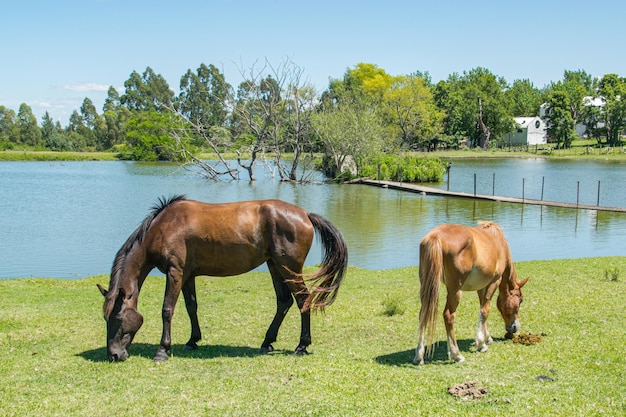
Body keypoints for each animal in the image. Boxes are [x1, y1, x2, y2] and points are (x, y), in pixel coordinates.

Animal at [96, 195, 346, 360]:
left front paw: (162, 350)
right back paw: (267, 342)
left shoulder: (175, 272)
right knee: (284, 302)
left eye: (117, 318)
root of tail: (305, 214)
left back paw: (301, 346)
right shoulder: (187, 275)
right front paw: (192, 341)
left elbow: (167, 310)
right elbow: (191, 306)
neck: (164, 227)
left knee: (303, 299)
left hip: (288, 268)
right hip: (275, 265)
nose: (113, 355)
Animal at [412, 221, 528, 364]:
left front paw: (487, 338)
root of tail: (436, 236)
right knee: (448, 316)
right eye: (520, 300)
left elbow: (482, 307)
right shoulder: (493, 282)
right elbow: (485, 310)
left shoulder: (481, 287)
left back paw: (419, 356)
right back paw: (457, 354)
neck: (498, 242)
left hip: (426, 286)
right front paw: (481, 344)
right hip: (455, 290)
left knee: (423, 314)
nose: (515, 327)